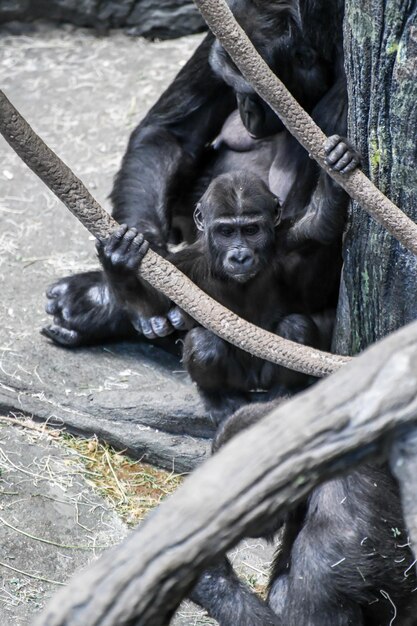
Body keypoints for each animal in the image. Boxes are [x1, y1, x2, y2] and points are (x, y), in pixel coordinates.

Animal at [43, 0, 348, 346]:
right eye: (231, 83)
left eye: (256, 92)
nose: (245, 107)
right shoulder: (220, 32)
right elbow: (170, 134)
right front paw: (139, 263)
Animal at [96, 168, 334, 422]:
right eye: (226, 232)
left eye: (251, 230)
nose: (240, 256)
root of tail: (254, 386)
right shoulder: (183, 265)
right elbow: (156, 308)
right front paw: (118, 259)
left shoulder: (288, 239)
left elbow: (318, 227)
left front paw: (334, 175)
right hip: (239, 381)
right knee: (204, 343)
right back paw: (220, 398)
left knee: (295, 328)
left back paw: (284, 392)